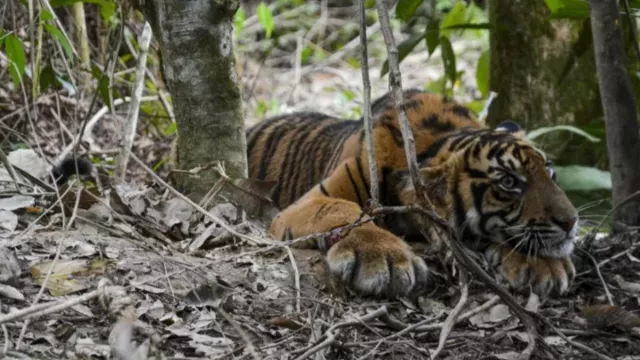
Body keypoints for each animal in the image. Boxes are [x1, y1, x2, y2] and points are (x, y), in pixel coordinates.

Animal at [248, 89, 576, 298]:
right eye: (509, 182)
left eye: (550, 171)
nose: (571, 221)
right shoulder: (309, 201)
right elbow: (344, 210)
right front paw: (384, 257)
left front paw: (544, 266)